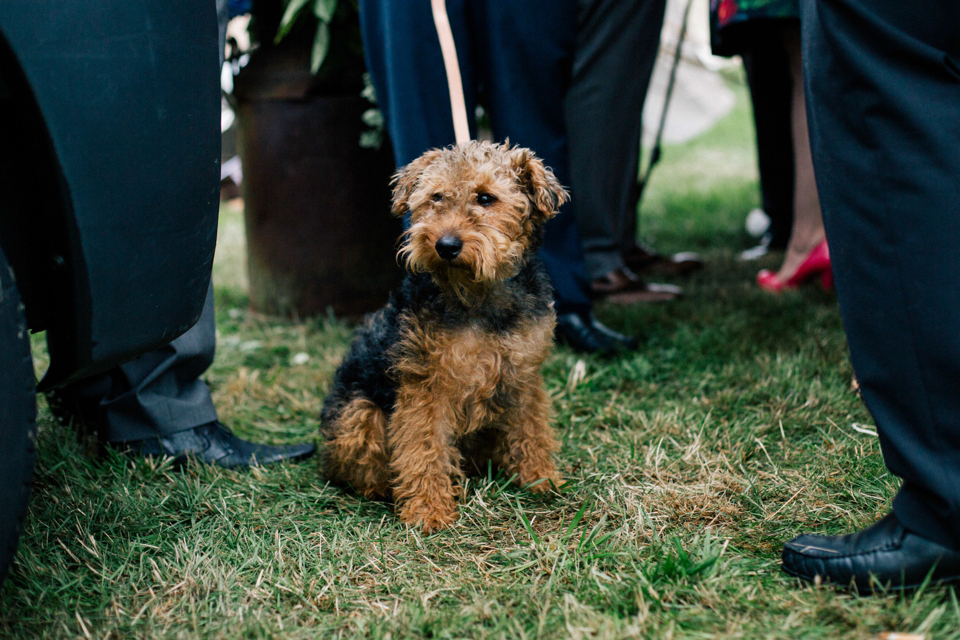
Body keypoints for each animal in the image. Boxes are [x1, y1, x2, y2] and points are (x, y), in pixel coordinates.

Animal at [318, 142, 568, 532]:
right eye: (436, 197)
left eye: (486, 197)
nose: (445, 245)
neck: (479, 296)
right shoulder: (427, 387)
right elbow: (425, 448)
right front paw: (428, 511)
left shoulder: (523, 376)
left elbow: (532, 430)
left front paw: (540, 479)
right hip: (359, 412)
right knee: (359, 467)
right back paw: (387, 488)